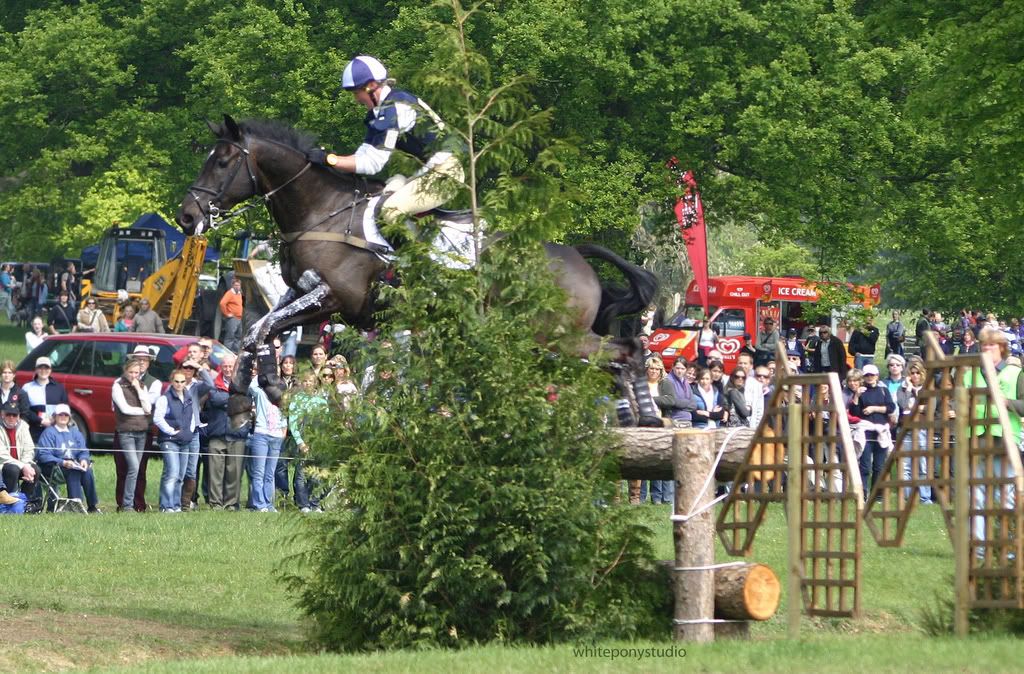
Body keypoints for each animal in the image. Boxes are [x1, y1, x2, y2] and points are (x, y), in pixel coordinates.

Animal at [176, 115, 655, 366]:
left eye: (222, 162)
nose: (187, 215)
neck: (321, 211)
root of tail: (575, 253)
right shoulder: (298, 292)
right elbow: (258, 329)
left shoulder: (334, 298)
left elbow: (266, 327)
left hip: (558, 334)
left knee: (627, 349)